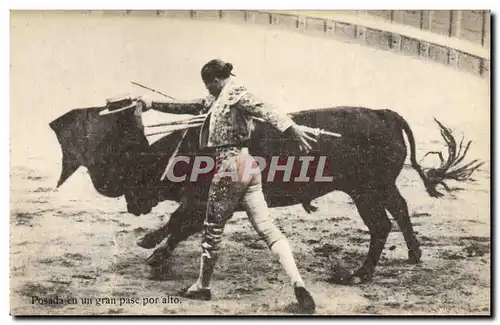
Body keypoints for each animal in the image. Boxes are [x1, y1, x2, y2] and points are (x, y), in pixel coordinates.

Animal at [49, 105, 464, 282]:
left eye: (136, 171)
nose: (131, 205)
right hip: (381, 187)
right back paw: (413, 255)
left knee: (380, 226)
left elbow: (181, 223)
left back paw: (359, 274)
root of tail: (383, 114)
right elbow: (181, 224)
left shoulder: (202, 200)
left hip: (366, 192)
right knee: (401, 209)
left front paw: (152, 251)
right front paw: (153, 247)